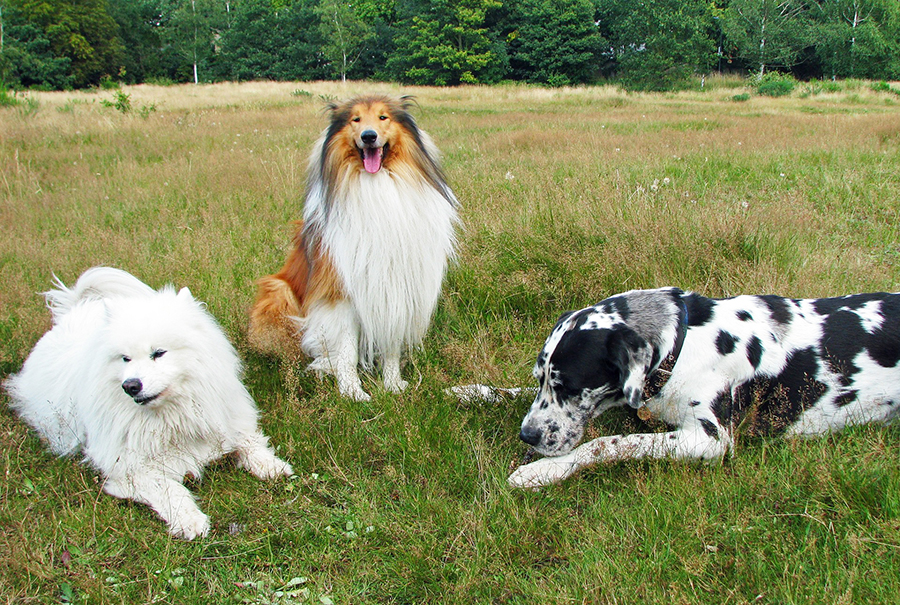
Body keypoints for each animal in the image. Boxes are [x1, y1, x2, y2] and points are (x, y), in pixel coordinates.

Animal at [3, 266, 292, 540]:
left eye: (159, 353)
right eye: (125, 358)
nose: (131, 385)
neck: (173, 415)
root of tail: (74, 311)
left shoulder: (228, 420)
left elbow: (249, 443)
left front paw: (273, 466)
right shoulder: (133, 470)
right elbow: (171, 489)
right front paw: (190, 520)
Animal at [502, 286, 896, 488]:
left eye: (568, 386)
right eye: (541, 378)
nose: (527, 436)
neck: (682, 343)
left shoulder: (709, 439)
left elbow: (610, 443)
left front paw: (544, 470)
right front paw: (485, 392)